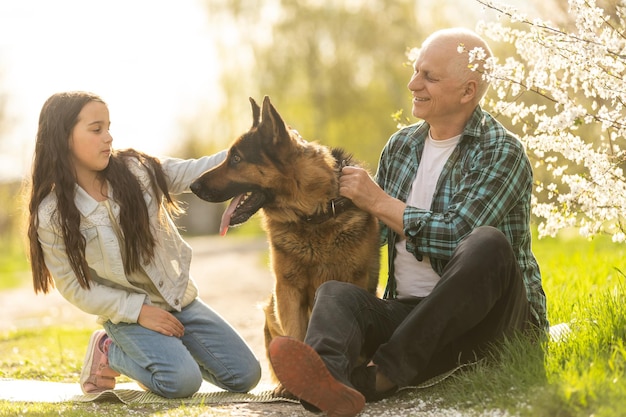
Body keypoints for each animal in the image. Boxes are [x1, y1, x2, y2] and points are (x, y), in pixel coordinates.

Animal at [188, 97, 378, 394]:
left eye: (236, 159)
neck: (312, 215)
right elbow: (296, 336)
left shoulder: (351, 282)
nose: (192, 186)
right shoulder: (287, 290)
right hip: (270, 306)